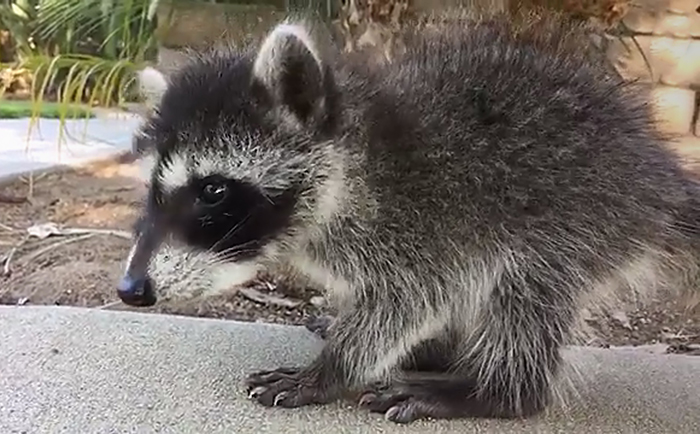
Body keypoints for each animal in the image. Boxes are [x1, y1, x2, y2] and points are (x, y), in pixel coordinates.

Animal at [117, 11, 700, 426]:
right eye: (151, 188)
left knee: (523, 293)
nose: (131, 289)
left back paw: (496, 390)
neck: (351, 166)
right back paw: (442, 352)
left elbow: (411, 299)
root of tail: (660, 176)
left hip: (575, 214)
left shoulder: (423, 220)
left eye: (212, 191)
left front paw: (333, 370)